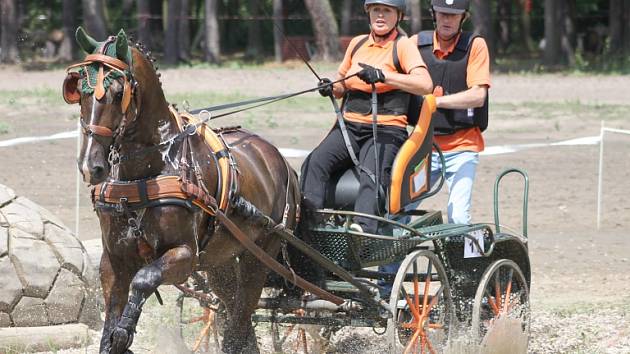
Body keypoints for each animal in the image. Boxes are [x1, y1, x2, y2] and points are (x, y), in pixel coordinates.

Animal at [65, 28, 302, 354]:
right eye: (79, 91)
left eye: (117, 92)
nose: (91, 166)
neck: (146, 173)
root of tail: (281, 161)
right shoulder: (113, 260)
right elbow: (110, 316)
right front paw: (117, 335)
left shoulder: (185, 256)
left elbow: (144, 278)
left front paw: (125, 332)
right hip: (221, 263)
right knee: (235, 316)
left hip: (260, 256)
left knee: (240, 319)